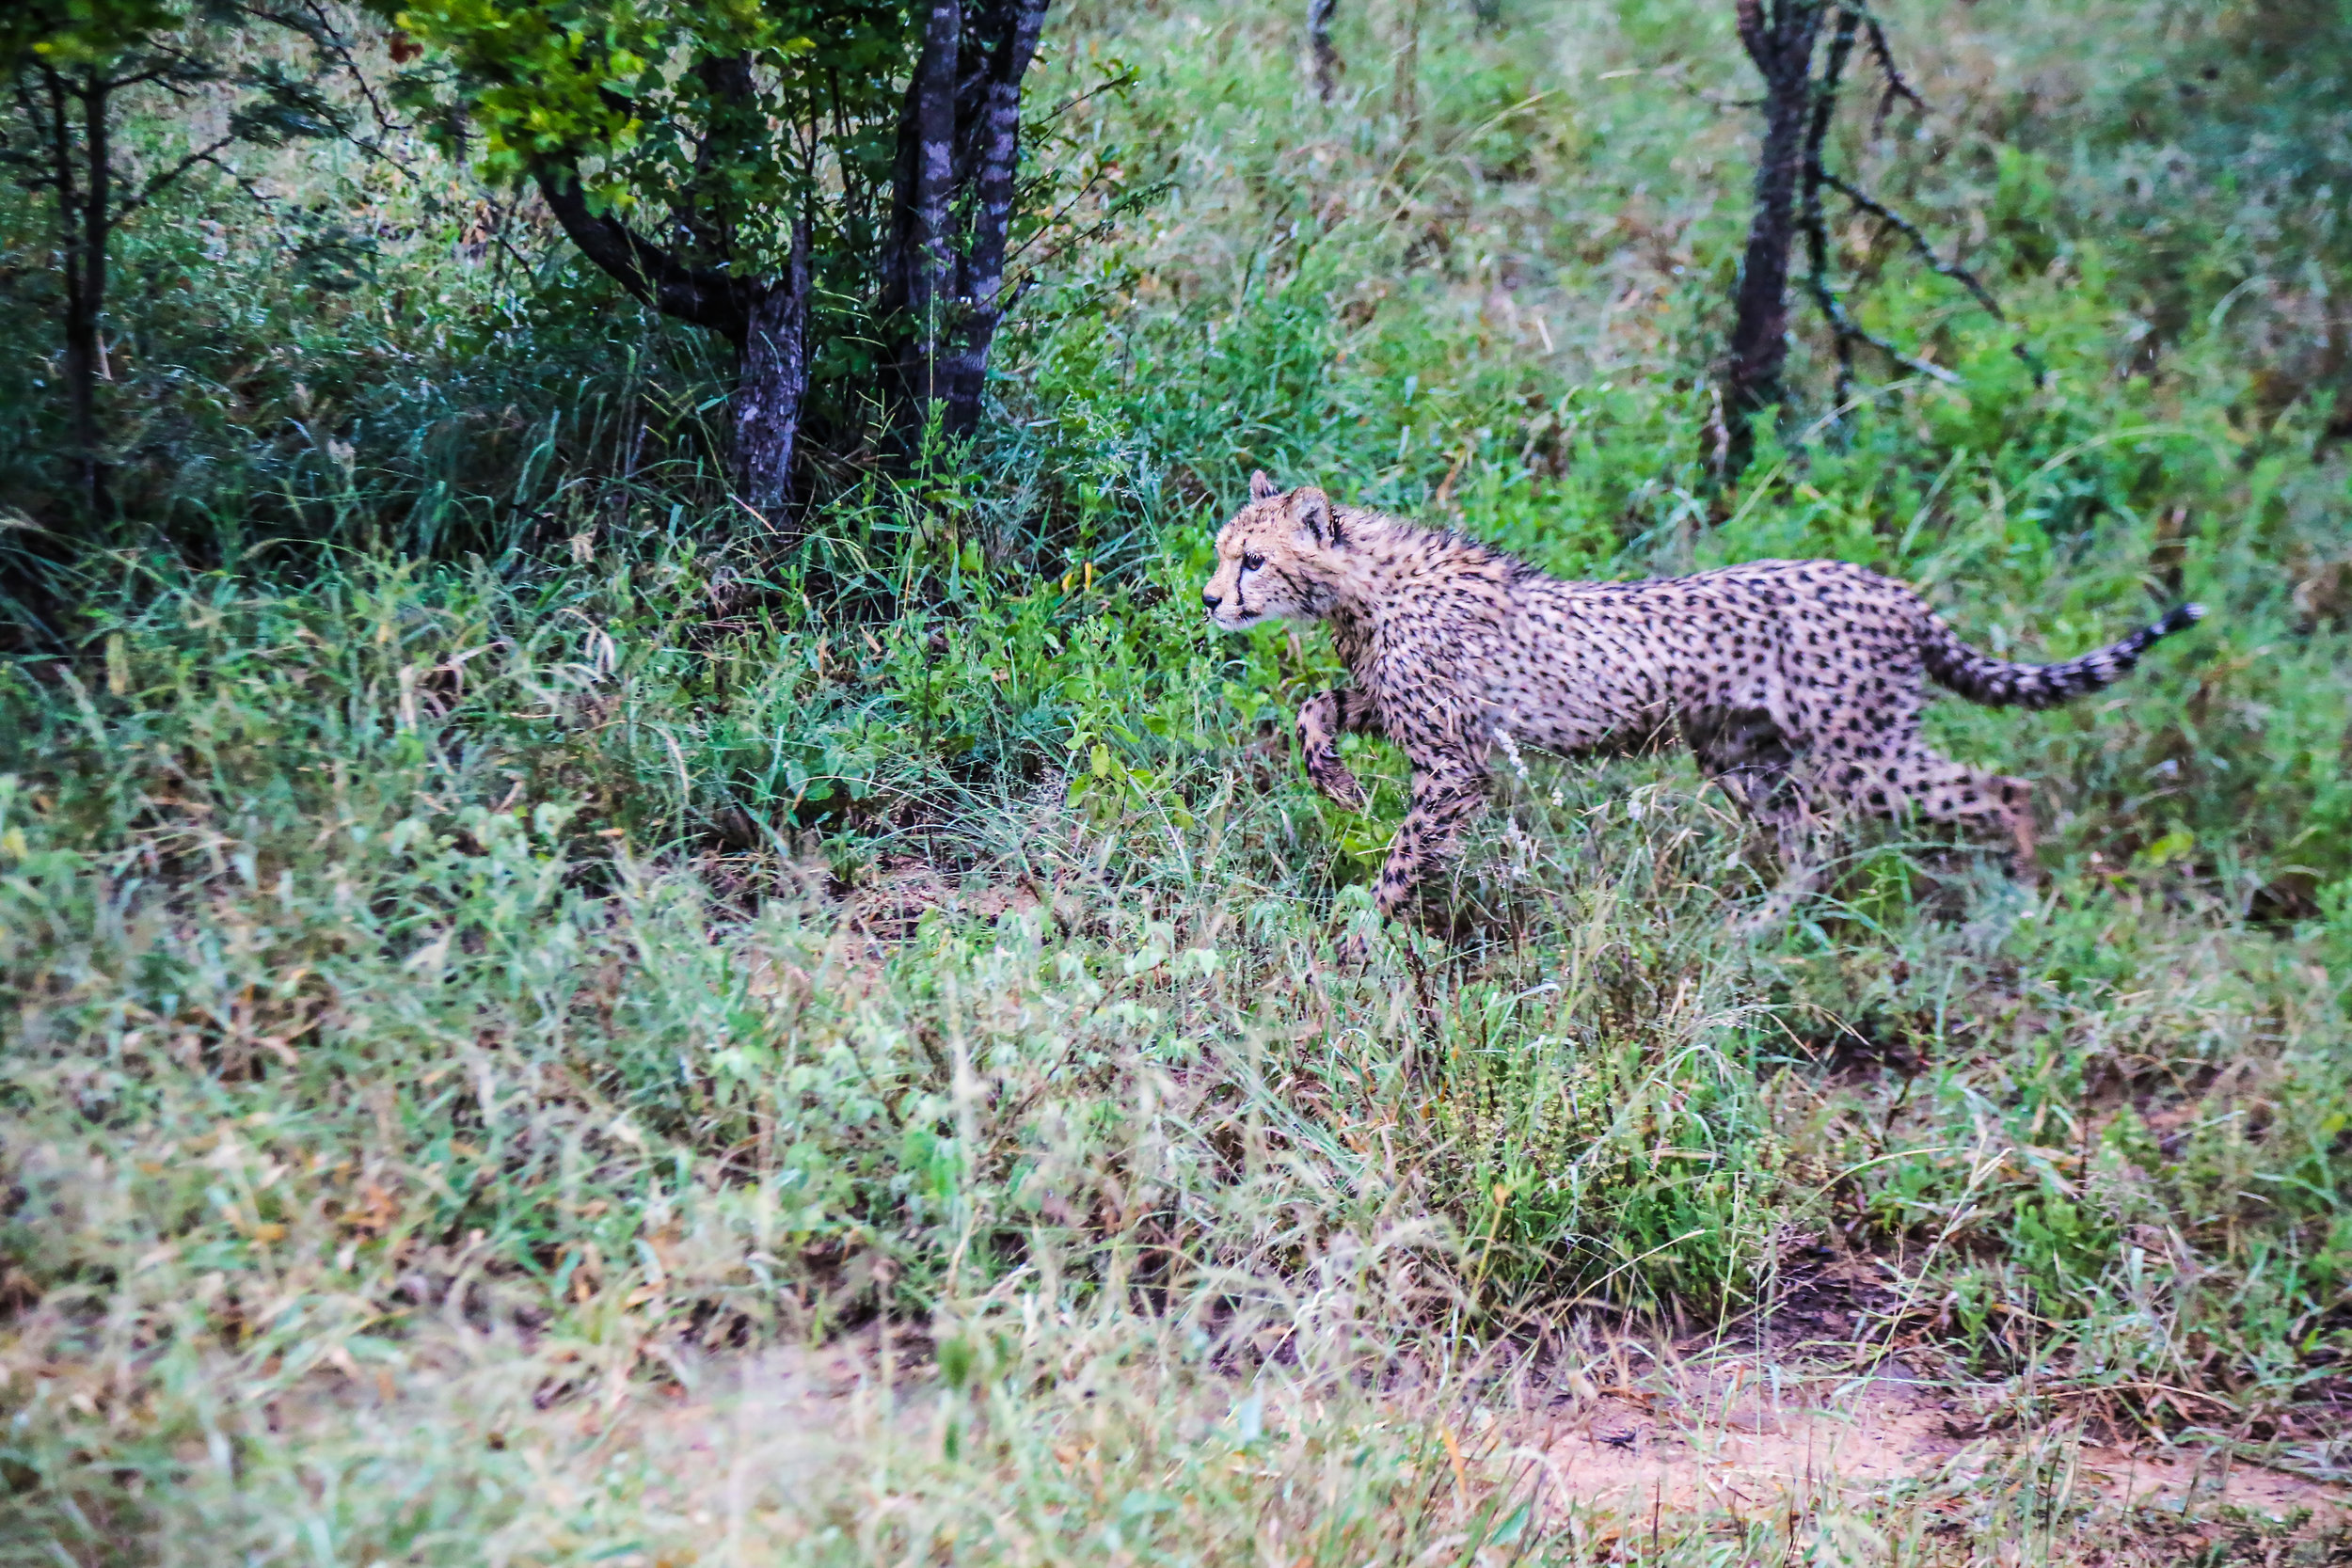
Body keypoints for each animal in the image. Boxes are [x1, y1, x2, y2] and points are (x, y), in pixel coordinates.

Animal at [1201, 470, 2206, 953]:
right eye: (1222, 552)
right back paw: (1759, 932)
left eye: (1253, 559)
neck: (1365, 585)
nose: (1210, 600)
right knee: (1812, 840)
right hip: (1743, 755)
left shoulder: (1456, 761)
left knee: (2003, 788)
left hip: (1867, 749)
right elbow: (1317, 707)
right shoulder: (1406, 711)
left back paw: (2022, 901)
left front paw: (1363, 933)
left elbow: (1406, 855)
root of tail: (1892, 588)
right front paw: (1333, 782)